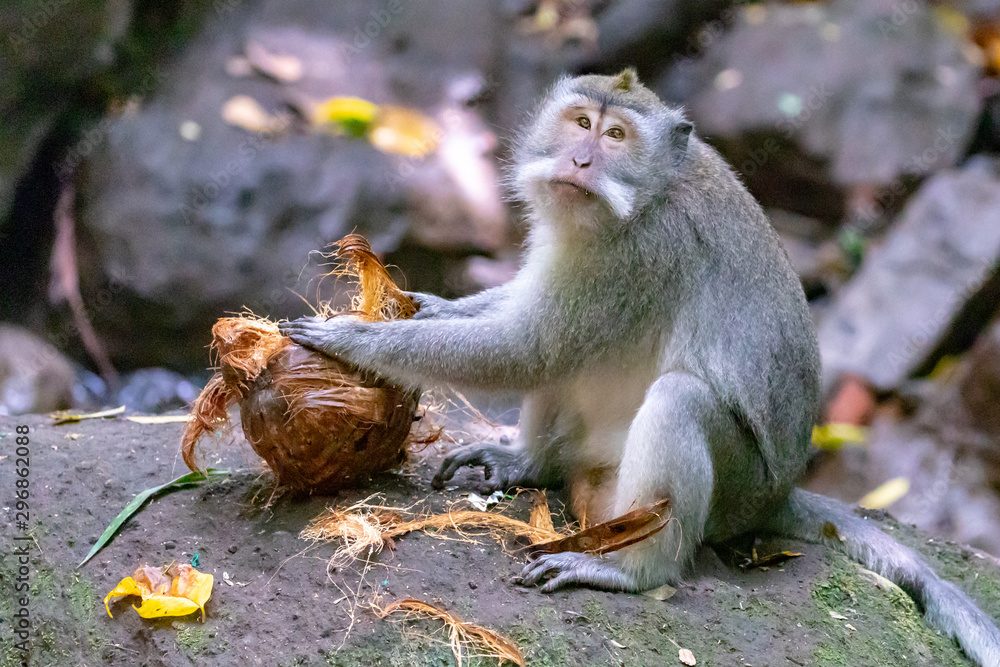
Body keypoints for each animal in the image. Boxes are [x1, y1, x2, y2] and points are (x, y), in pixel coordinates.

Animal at [280, 69, 1000, 666]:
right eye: (580, 122)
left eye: (616, 135)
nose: (580, 159)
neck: (649, 194)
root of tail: (779, 494)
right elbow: (528, 322)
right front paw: (430, 307)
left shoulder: (637, 254)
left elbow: (526, 346)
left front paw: (351, 341)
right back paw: (530, 463)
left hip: (734, 493)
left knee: (675, 396)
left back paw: (632, 570)